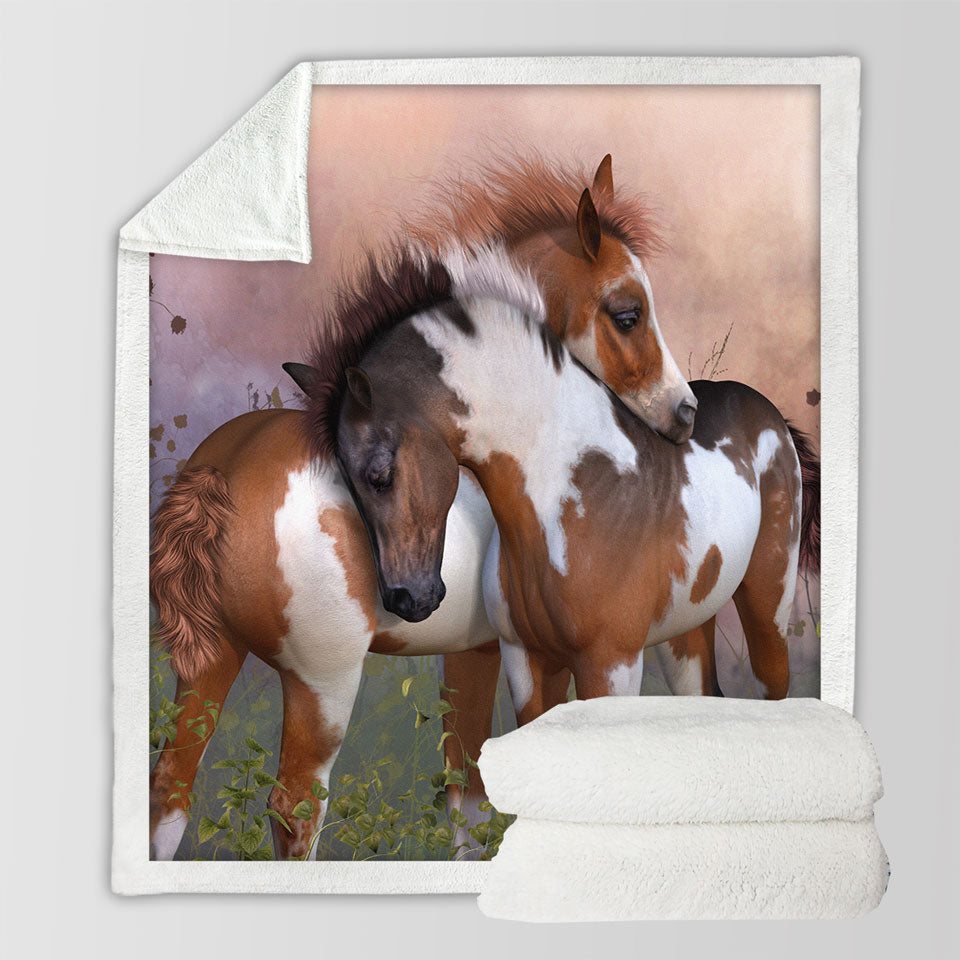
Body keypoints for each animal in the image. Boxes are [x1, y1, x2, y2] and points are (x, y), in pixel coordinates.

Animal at [148, 155, 704, 860]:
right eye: (628, 313)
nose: (685, 413)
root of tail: (221, 471)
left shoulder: (473, 652)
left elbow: (466, 795)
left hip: (207, 661)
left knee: (168, 794)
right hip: (322, 682)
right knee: (295, 808)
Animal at [331, 255, 818, 727]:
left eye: (380, 475)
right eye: (344, 481)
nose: (406, 598)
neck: (577, 489)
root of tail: (769, 414)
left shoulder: (611, 665)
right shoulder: (527, 662)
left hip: (768, 606)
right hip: (687, 630)